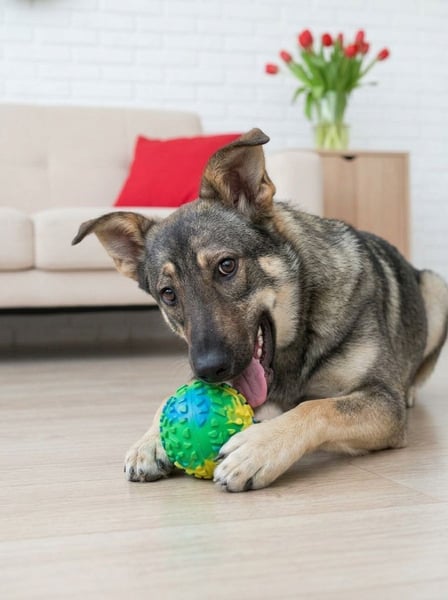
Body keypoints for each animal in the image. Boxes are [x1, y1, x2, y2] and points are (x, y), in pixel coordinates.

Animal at [72, 129, 448, 492]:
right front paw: (150, 441)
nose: (209, 371)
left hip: (436, 287)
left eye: (226, 266)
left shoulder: (384, 403)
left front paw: (259, 447)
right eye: (168, 294)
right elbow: (169, 398)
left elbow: (318, 407)